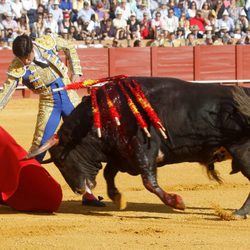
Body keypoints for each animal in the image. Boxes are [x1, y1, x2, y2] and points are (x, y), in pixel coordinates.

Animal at [39, 77, 250, 218]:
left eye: (61, 160)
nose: (79, 190)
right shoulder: (121, 154)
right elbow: (109, 174)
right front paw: (118, 198)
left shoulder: (143, 150)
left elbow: (149, 182)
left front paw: (178, 202)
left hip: (242, 151)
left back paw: (239, 213)